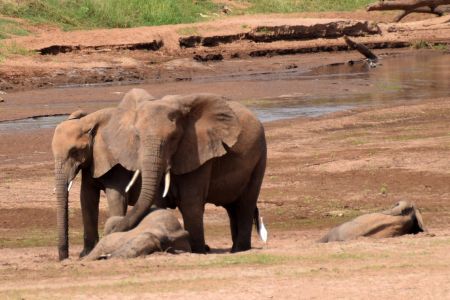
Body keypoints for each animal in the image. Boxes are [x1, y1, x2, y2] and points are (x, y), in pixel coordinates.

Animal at [52, 89, 153, 260]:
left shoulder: (117, 161)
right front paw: (85, 254)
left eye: (74, 151)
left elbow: (116, 198)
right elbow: (87, 198)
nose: (65, 258)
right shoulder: (92, 160)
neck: (89, 121)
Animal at [106, 91, 268, 253]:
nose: (111, 229)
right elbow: (158, 202)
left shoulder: (198, 151)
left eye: (173, 138)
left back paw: (240, 249)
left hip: (260, 156)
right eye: (137, 137)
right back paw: (235, 249)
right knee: (232, 207)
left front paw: (198, 251)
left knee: (246, 204)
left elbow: (190, 202)